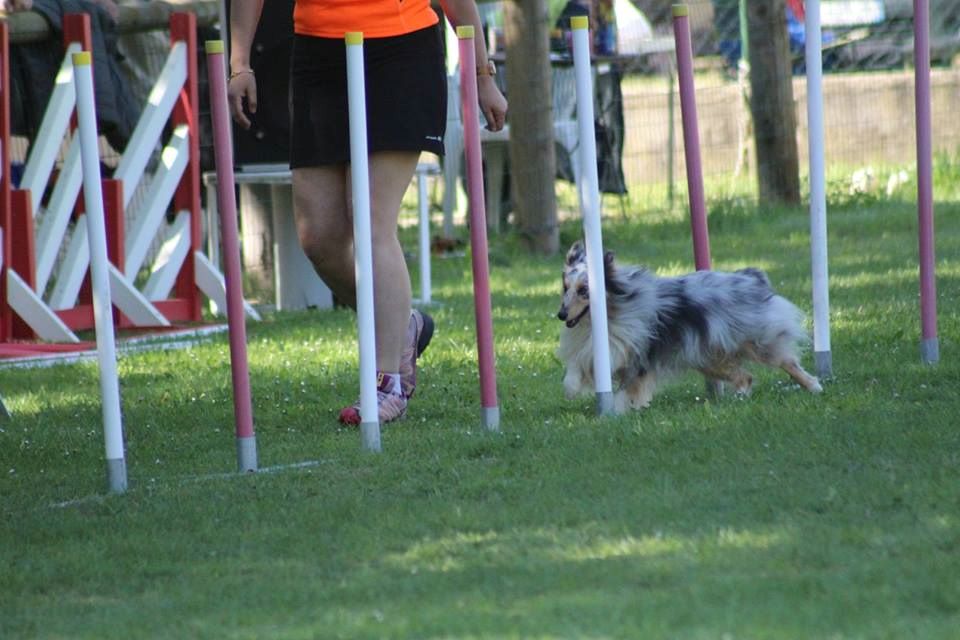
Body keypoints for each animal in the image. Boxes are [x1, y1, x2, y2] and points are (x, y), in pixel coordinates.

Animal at [560, 241, 820, 416]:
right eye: (565, 288)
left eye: (584, 291)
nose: (561, 315)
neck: (613, 313)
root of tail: (751, 277)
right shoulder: (594, 351)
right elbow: (574, 371)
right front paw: (571, 390)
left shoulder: (639, 361)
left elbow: (627, 390)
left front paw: (617, 411)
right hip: (709, 358)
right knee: (746, 377)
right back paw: (738, 400)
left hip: (757, 341)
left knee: (787, 363)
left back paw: (814, 385)